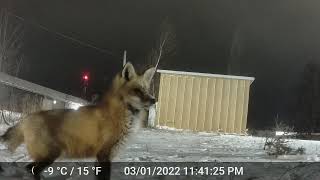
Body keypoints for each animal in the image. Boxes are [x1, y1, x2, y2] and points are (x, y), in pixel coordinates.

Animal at [0, 62, 155, 180]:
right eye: (137, 90)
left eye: (147, 90)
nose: (154, 100)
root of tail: (27, 118)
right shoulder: (104, 155)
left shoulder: (102, 157)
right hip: (50, 156)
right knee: (31, 170)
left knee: (28, 168)